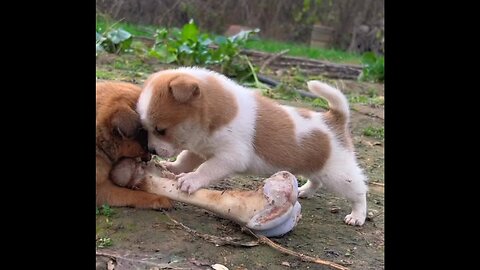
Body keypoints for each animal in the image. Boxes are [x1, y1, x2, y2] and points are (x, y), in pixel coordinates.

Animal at [137, 68, 370, 226]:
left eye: (160, 130)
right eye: (145, 128)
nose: (152, 151)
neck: (220, 113)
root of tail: (334, 118)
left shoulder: (229, 157)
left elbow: (205, 170)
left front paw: (191, 180)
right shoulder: (199, 149)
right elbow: (185, 160)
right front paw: (172, 168)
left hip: (339, 175)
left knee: (359, 191)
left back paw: (357, 216)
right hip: (316, 167)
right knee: (316, 180)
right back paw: (304, 190)